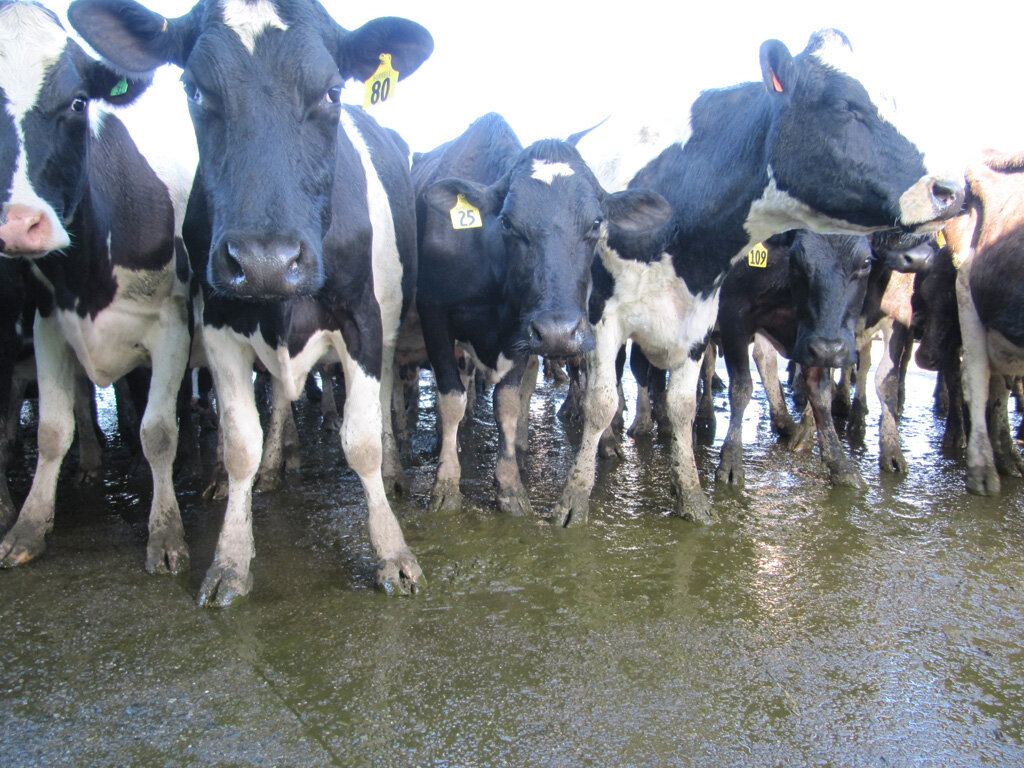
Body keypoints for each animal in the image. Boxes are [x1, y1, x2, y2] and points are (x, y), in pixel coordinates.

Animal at [0, 0, 196, 573]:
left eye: (77, 101)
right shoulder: (47, 322)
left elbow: (158, 431)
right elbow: (51, 429)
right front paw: (28, 526)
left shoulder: (172, 325)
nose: (19, 225)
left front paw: (166, 533)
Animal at [68, 0, 433, 605]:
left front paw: (392, 551)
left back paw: (394, 470)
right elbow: (240, 442)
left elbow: (360, 442)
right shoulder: (217, 323)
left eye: (332, 91)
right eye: (194, 89)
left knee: (381, 401)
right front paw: (231, 558)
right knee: (281, 398)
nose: (266, 260)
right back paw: (274, 467)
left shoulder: (360, 320)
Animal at [414, 112, 671, 514]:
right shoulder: (434, 315)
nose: (558, 332)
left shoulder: (519, 331)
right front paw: (445, 484)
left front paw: (510, 486)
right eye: (506, 222)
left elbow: (507, 403)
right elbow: (452, 399)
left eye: (596, 223)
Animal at [555, 28, 964, 526]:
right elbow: (602, 401)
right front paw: (574, 497)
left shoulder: (700, 319)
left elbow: (683, 405)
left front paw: (692, 497)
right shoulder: (604, 318)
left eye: (866, 264)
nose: (951, 190)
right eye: (847, 105)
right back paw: (608, 440)